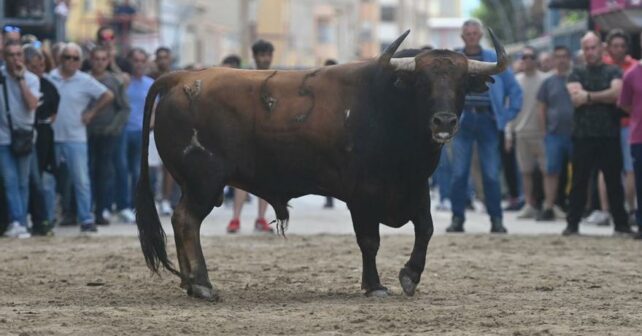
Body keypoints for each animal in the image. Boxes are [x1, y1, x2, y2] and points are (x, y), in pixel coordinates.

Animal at [135, 30, 504, 300]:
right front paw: (375, 285)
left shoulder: (415, 186)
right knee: (186, 221)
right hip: (205, 182)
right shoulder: (362, 195)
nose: (444, 121)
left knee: (184, 222)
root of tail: (181, 79)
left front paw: (410, 275)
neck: (390, 106)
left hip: (195, 185)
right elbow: (369, 240)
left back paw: (190, 283)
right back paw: (201, 284)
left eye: (461, 83)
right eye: (423, 83)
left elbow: (425, 229)